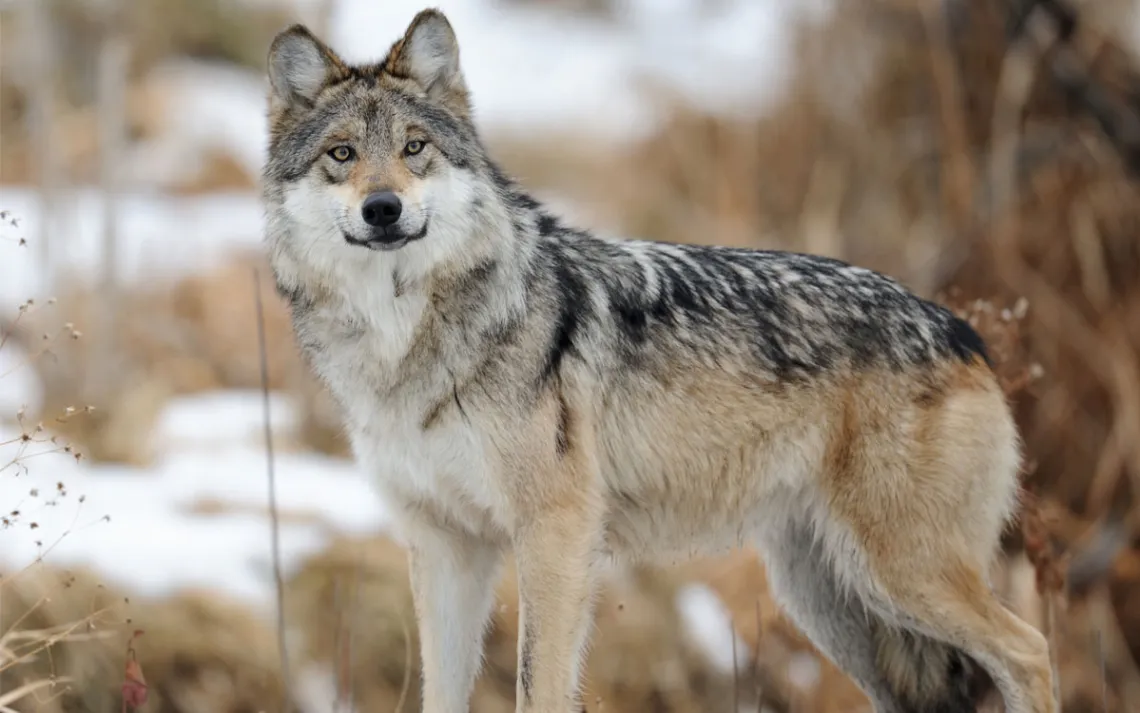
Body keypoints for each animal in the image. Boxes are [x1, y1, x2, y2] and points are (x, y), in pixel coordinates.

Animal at [262, 8, 1057, 713]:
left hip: (900, 575)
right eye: (342, 155)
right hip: (832, 602)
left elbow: (537, 687)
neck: (403, 342)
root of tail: (965, 334)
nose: (384, 208)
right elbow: (442, 693)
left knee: (1031, 650)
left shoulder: (556, 532)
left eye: (415, 147)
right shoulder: (443, 546)